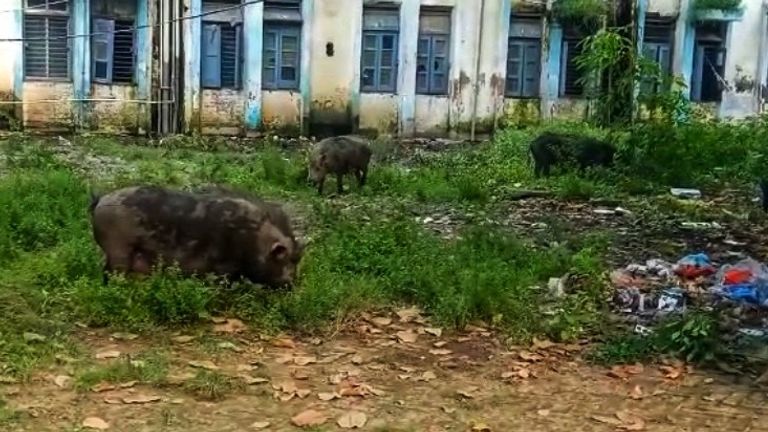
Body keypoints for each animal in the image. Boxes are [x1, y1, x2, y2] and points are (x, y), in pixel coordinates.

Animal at [89, 185, 304, 288]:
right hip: (118, 249)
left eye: (298, 259)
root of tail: (100, 200)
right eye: (288, 259)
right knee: (112, 273)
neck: (255, 238)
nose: (292, 285)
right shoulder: (222, 266)